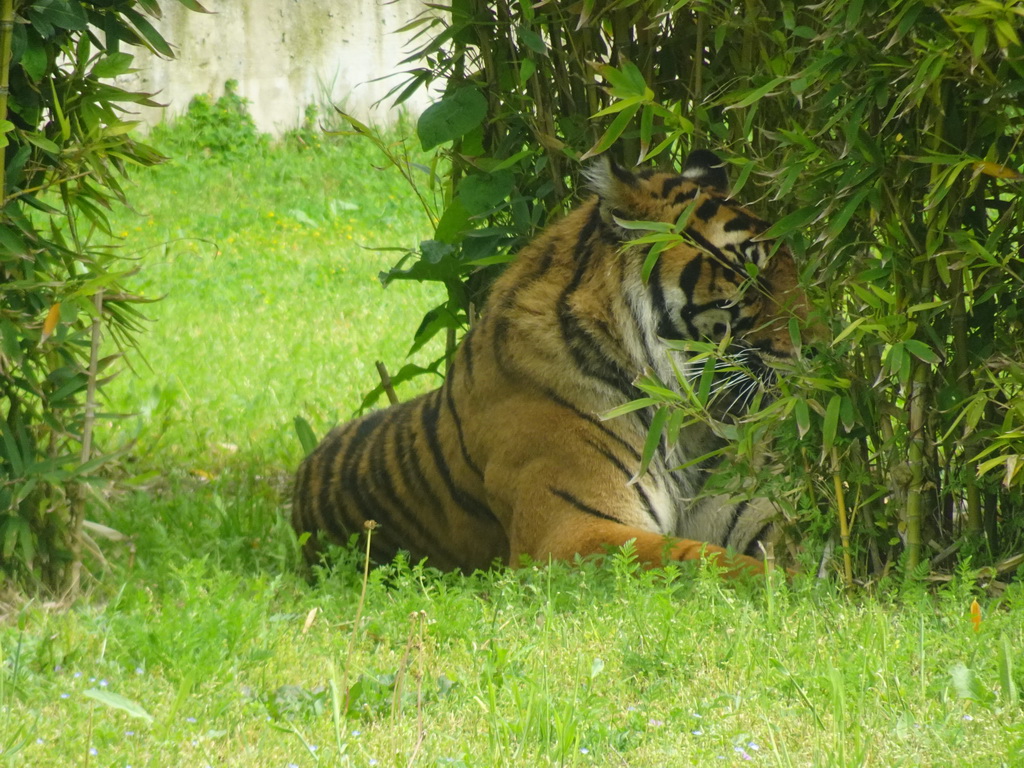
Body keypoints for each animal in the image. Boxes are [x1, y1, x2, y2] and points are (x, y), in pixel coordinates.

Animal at [292, 150, 811, 581]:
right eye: (747, 271)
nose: (821, 345)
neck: (689, 422)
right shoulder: (572, 530)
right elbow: (705, 560)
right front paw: (801, 590)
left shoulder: (743, 510)